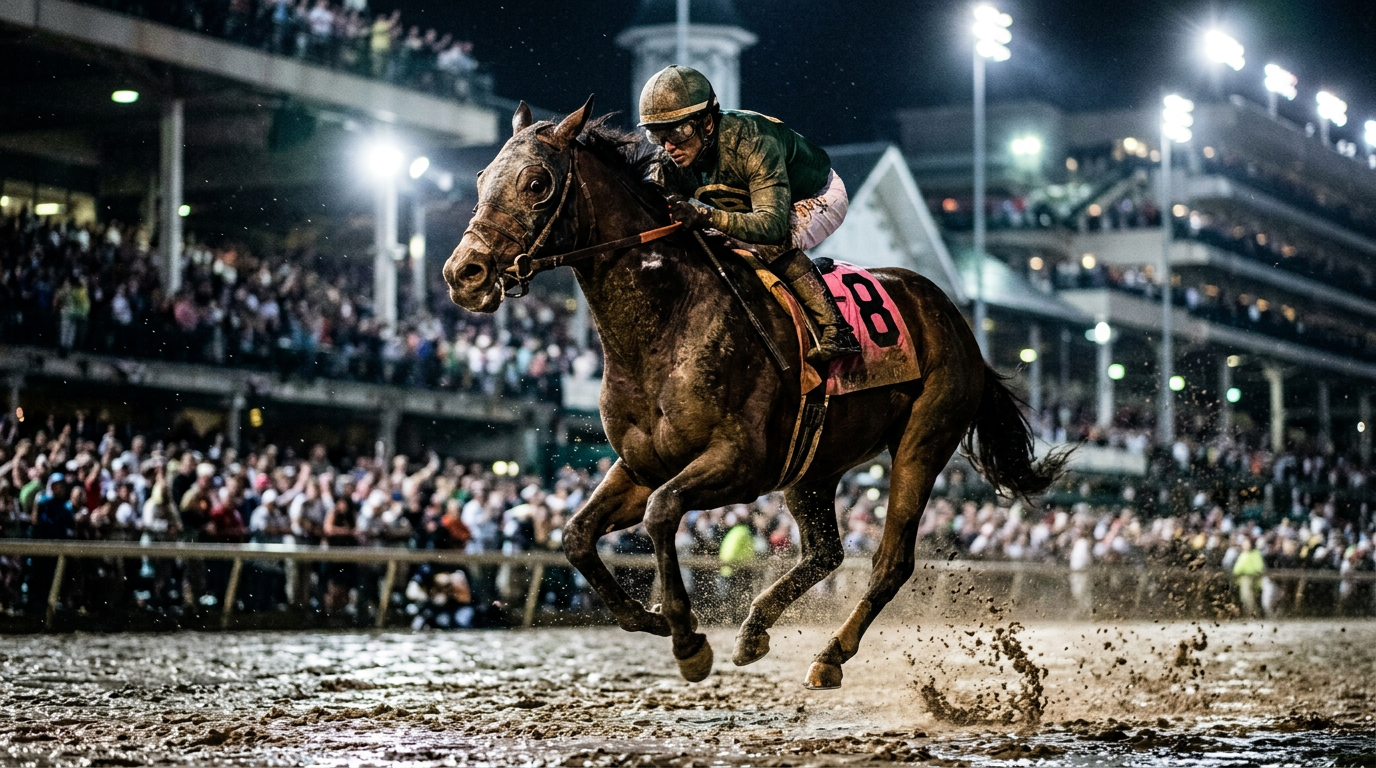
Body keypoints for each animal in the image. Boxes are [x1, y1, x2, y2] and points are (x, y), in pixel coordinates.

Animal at [443, 96, 1066, 689]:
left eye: (537, 182)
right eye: (481, 178)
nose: (462, 273)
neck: (667, 322)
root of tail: (959, 324)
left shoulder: (742, 462)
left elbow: (662, 512)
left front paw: (687, 638)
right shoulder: (641, 464)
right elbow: (576, 535)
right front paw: (649, 617)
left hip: (922, 440)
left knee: (890, 562)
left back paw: (829, 656)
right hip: (814, 464)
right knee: (826, 551)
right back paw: (756, 628)